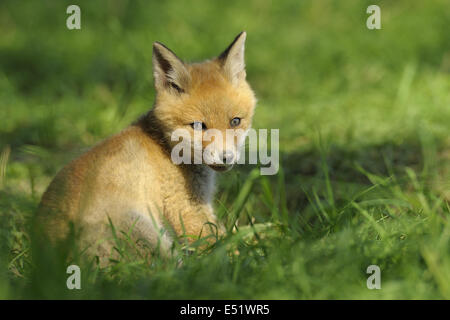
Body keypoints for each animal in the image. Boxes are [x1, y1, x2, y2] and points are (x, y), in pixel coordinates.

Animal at [37, 31, 255, 264]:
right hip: (150, 238)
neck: (165, 145)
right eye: (198, 126)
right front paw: (251, 258)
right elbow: (225, 246)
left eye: (235, 121)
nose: (226, 157)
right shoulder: (186, 209)